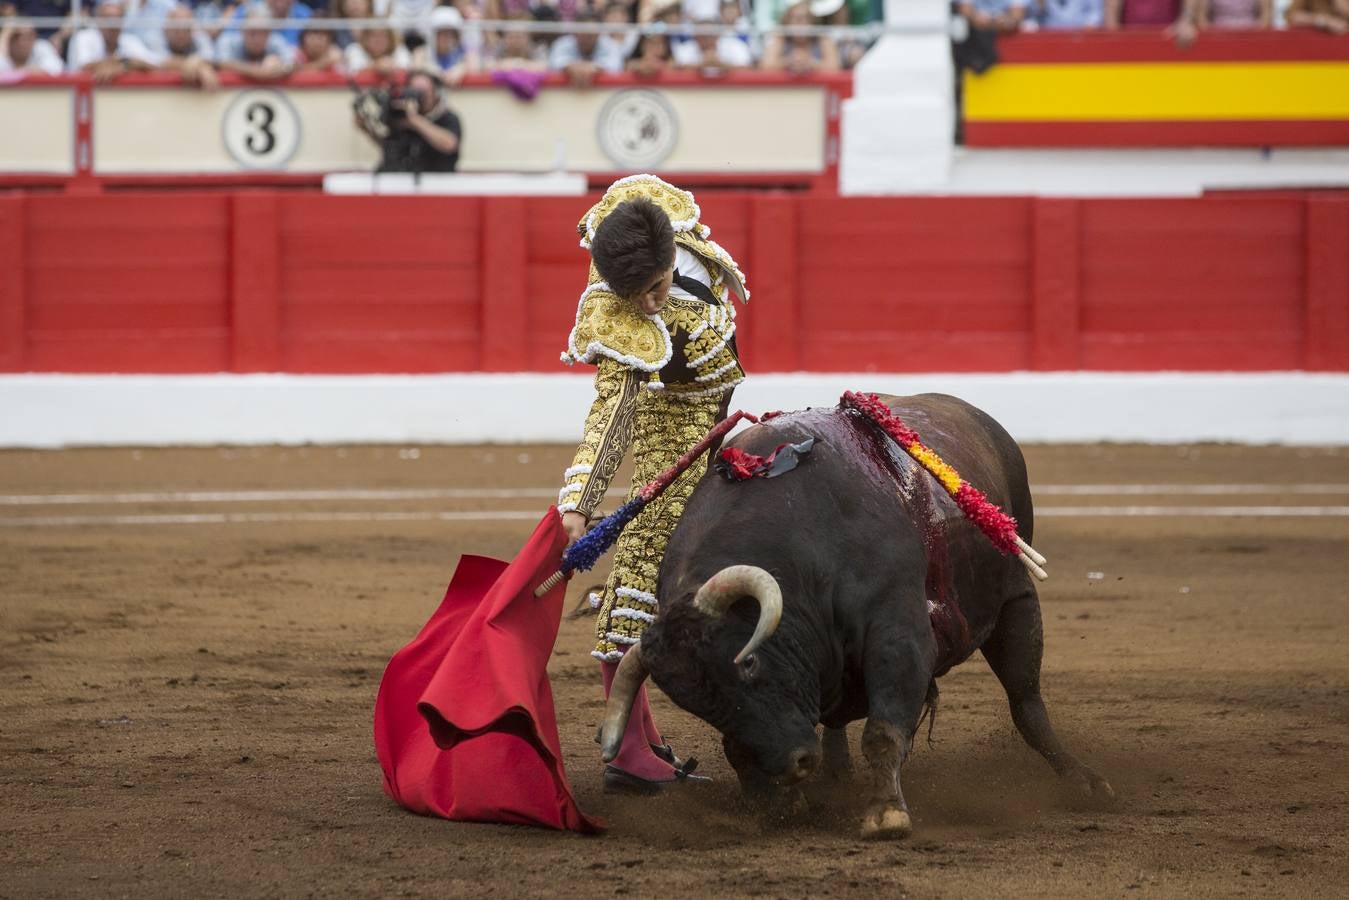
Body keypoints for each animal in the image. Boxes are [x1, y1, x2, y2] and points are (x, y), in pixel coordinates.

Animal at [604, 394, 1116, 836]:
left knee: (1025, 699)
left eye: (748, 662)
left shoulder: (898, 634)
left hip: (1017, 600)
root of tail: (978, 417)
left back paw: (1085, 781)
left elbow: (884, 730)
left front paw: (886, 813)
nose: (793, 764)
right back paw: (836, 778)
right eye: (696, 704)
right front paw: (780, 805)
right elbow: (742, 749)